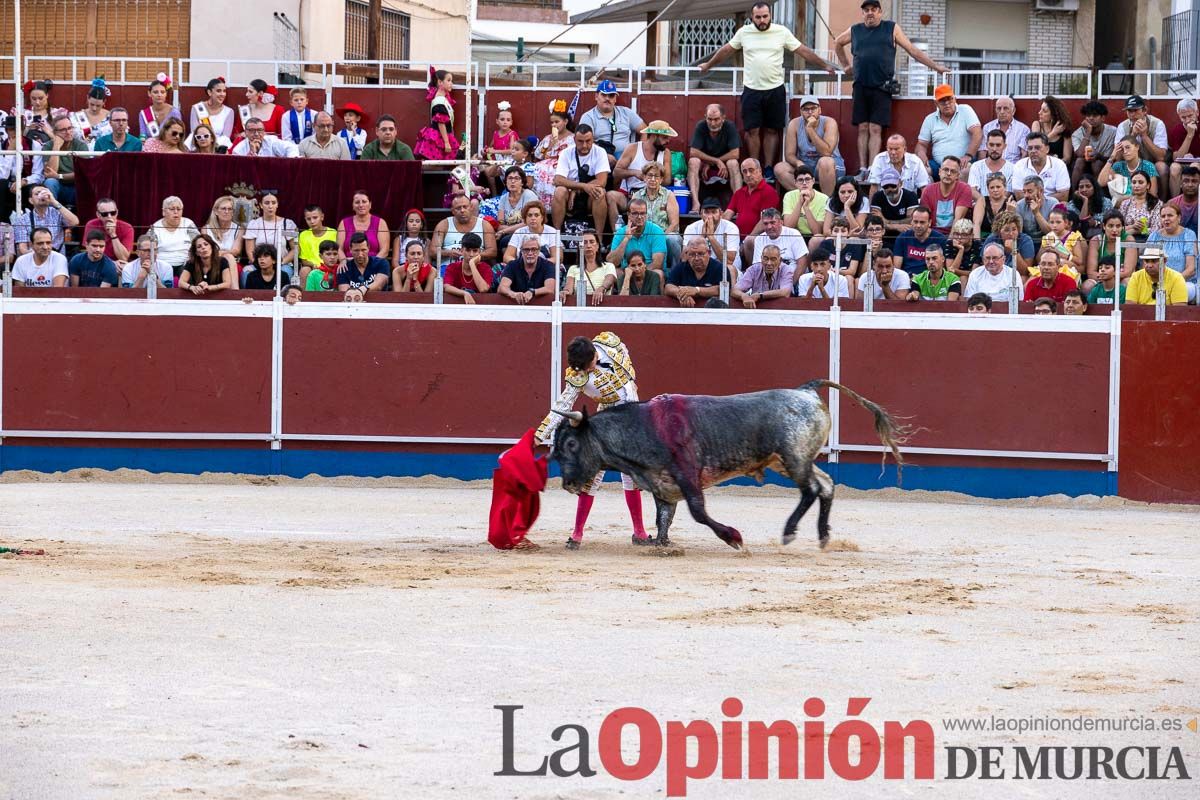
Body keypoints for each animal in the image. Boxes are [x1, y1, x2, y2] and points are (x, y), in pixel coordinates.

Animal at [552, 381, 907, 551]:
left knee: (809, 490)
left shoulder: (687, 475)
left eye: (570, 444)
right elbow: (663, 517)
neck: (645, 426)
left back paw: (789, 531)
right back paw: (822, 536)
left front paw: (732, 537)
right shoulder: (663, 485)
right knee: (826, 485)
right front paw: (660, 545)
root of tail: (805, 391)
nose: (567, 484)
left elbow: (697, 512)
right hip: (793, 460)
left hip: (793, 458)